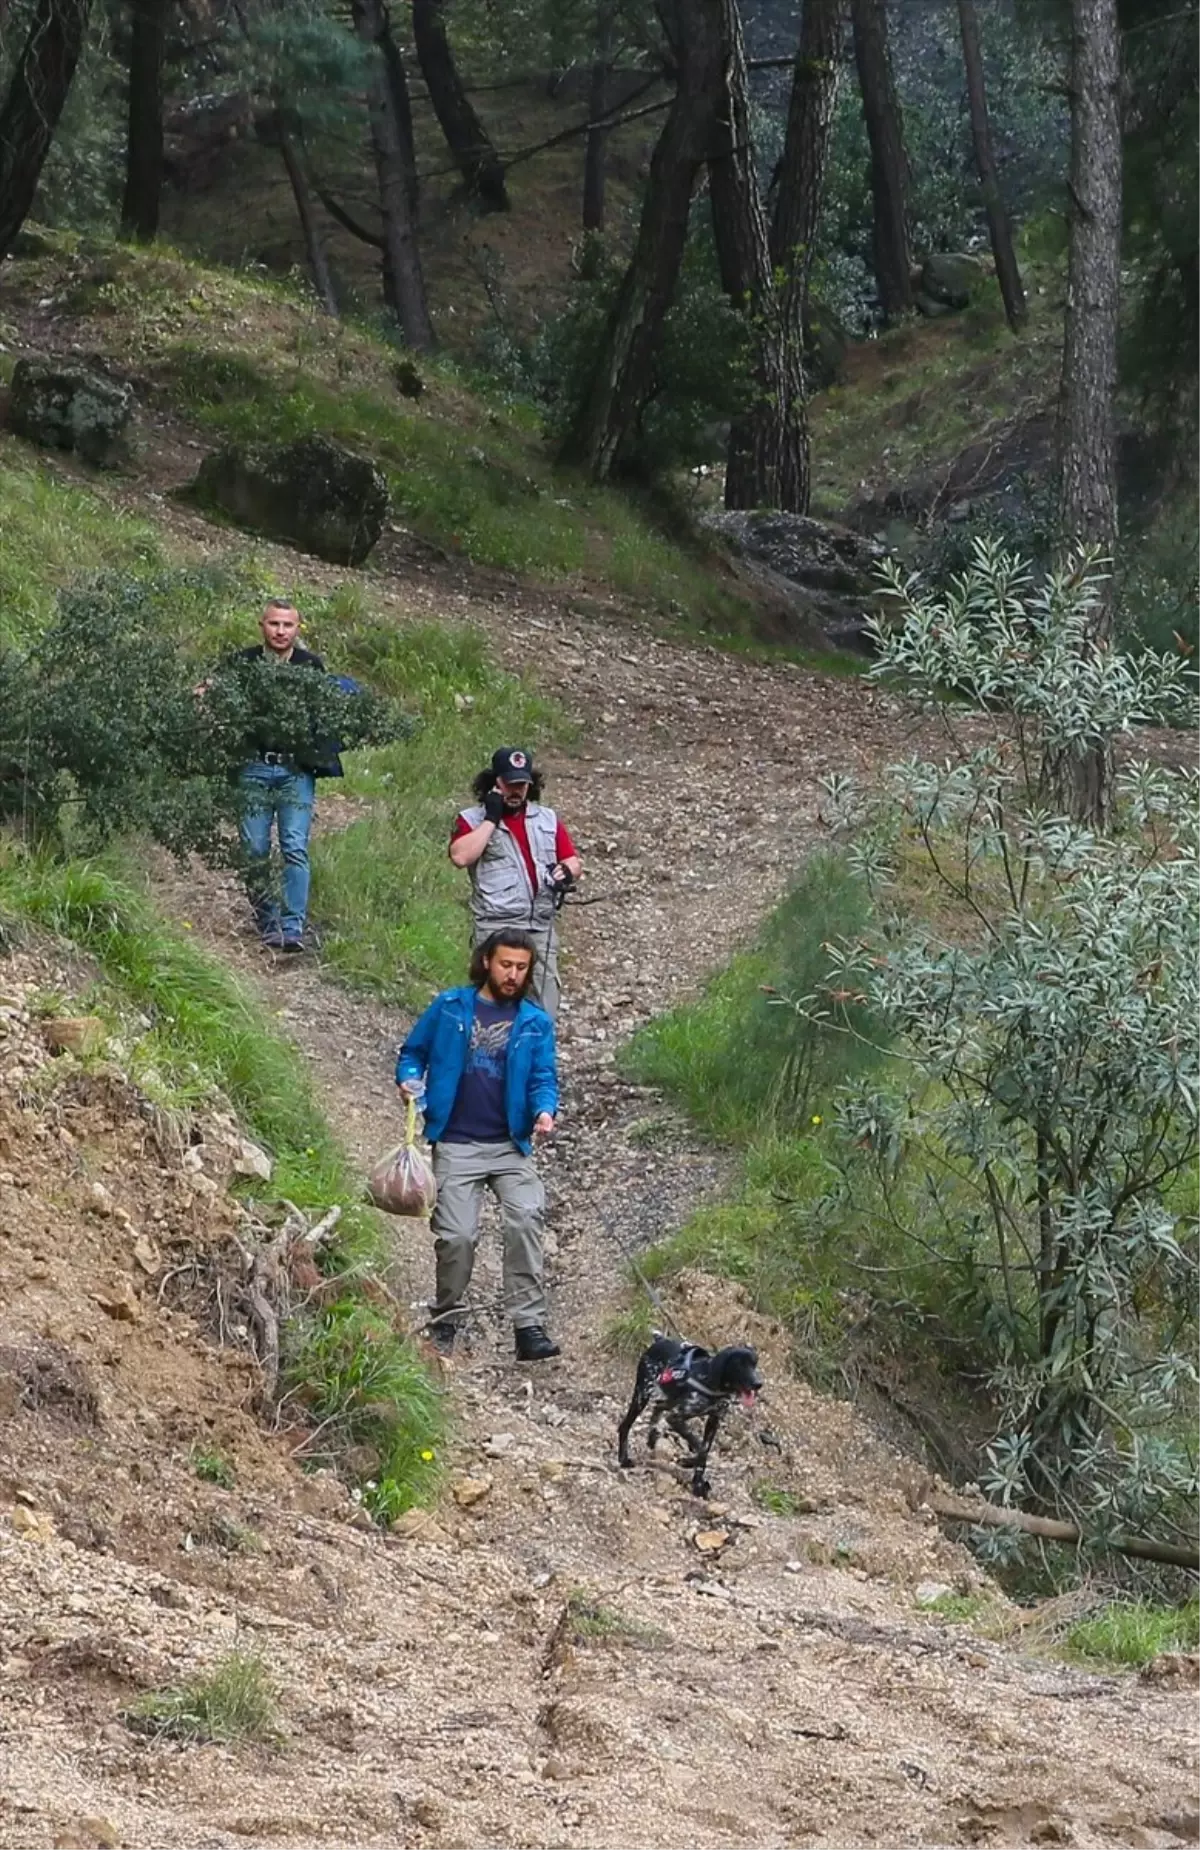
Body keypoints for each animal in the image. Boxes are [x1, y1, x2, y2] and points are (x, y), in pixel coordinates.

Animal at [617, 1339, 758, 1494]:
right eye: (740, 1364)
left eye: (754, 1364)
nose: (759, 1383)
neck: (708, 1379)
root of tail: (660, 1340)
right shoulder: (675, 1418)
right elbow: (701, 1449)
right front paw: (695, 1474)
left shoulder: (713, 1420)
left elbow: (705, 1450)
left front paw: (697, 1481)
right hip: (642, 1396)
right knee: (625, 1425)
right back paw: (623, 1459)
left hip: (668, 1399)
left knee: (658, 1408)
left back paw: (652, 1437)